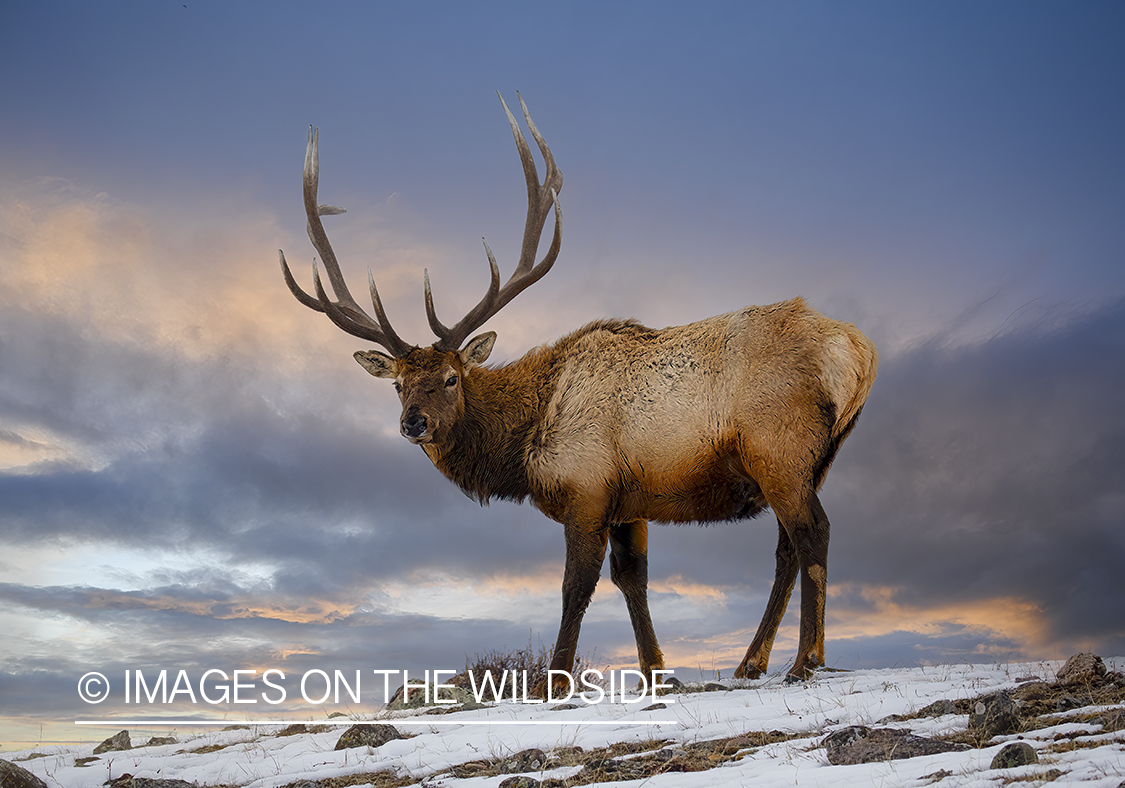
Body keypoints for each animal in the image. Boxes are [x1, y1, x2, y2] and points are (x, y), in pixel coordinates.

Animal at [276, 92, 873, 684]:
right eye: (398, 385)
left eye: (451, 378)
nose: (413, 423)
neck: (525, 446)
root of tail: (858, 352)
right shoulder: (631, 500)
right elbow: (632, 579)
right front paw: (657, 671)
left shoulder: (586, 488)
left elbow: (575, 586)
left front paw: (555, 680)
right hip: (812, 460)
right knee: (786, 549)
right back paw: (752, 661)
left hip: (779, 448)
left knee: (812, 532)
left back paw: (806, 659)